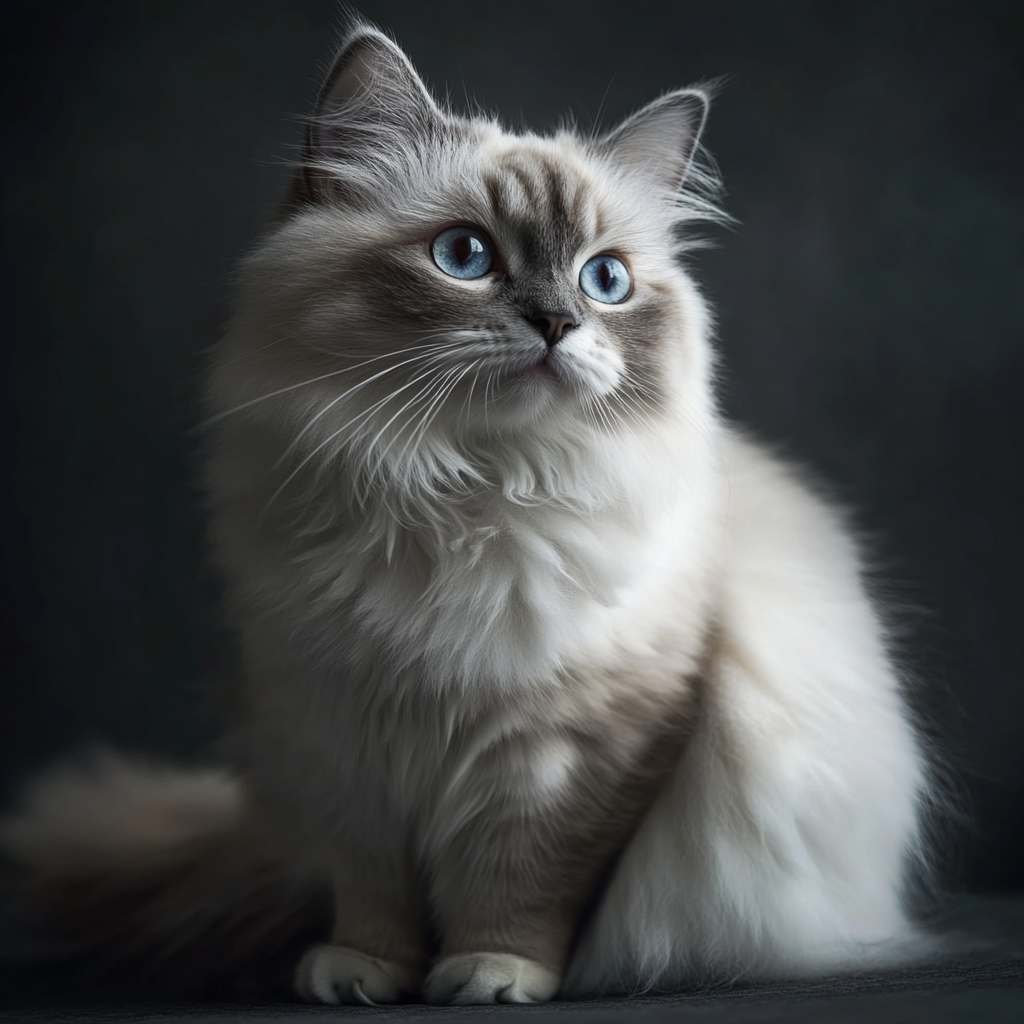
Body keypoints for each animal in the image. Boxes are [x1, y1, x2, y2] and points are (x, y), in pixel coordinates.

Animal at [0, 18, 937, 1007]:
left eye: (605, 279)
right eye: (464, 257)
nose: (560, 322)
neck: (468, 495)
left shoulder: (576, 753)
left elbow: (521, 884)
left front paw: (494, 973)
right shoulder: (341, 743)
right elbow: (373, 891)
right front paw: (364, 971)